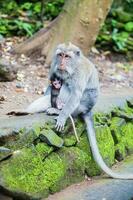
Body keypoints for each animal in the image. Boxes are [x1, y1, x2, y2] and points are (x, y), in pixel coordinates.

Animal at [8, 43, 133, 180]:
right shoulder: (54, 65)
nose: (62, 63)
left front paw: (62, 116)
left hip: (80, 106)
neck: (73, 65)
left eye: (67, 56)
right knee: (53, 92)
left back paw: (57, 111)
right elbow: (51, 85)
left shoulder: (79, 73)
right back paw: (25, 111)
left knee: (67, 89)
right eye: (60, 55)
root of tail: (88, 109)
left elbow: (75, 94)